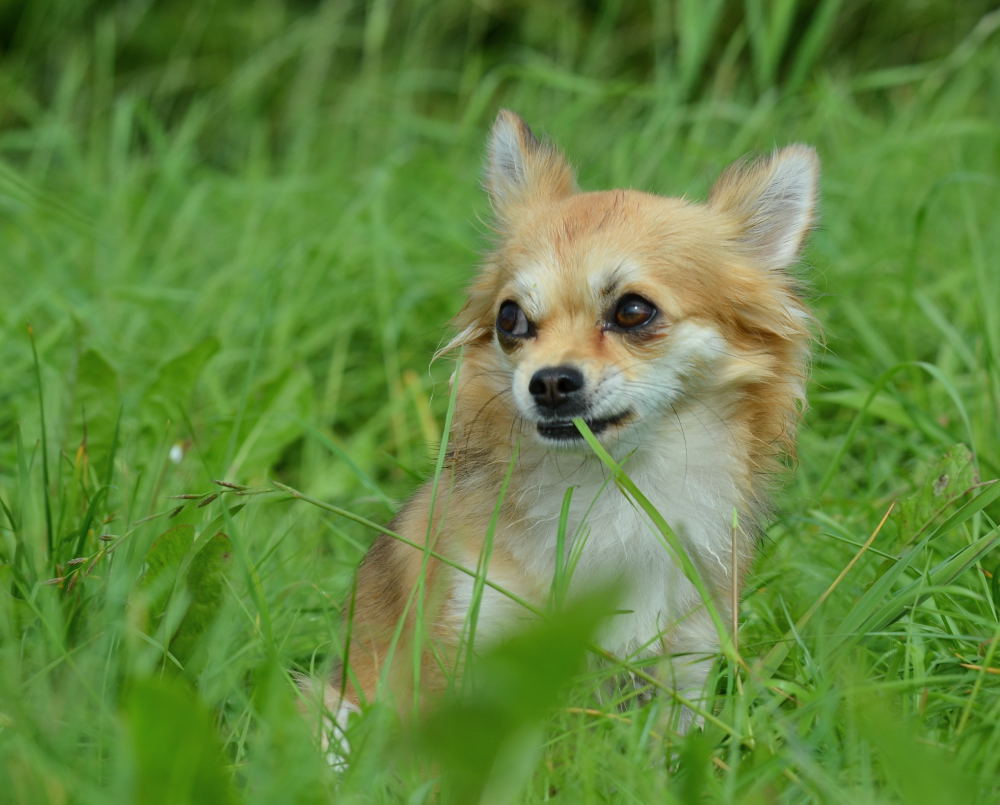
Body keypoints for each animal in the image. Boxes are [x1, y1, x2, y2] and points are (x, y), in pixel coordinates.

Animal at [314, 108, 820, 760]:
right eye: (510, 320)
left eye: (633, 310)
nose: (549, 381)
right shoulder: (470, 635)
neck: (612, 483)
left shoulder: (684, 666)